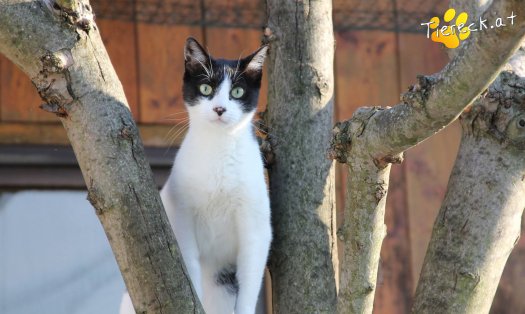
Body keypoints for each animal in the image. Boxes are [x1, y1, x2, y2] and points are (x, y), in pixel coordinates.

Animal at [119, 38, 270, 314]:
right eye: (206, 88)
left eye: (237, 92)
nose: (220, 108)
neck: (218, 151)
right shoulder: (182, 219)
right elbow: (189, 266)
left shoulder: (256, 227)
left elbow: (250, 280)